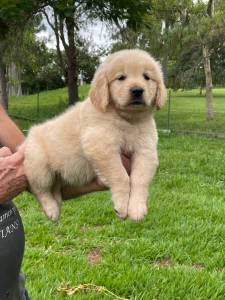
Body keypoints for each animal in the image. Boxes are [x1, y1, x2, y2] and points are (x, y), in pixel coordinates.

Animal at [23, 49, 166, 221]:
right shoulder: (101, 145)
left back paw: (56, 204)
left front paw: (137, 208)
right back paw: (51, 209)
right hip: (39, 167)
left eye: (146, 77)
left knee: (54, 187)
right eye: (121, 77)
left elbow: (140, 179)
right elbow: (121, 176)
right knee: (39, 190)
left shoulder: (146, 150)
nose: (137, 90)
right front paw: (121, 205)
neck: (127, 119)